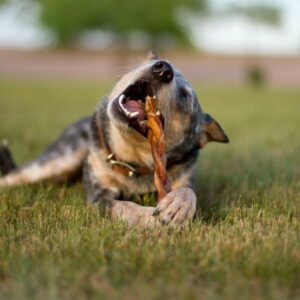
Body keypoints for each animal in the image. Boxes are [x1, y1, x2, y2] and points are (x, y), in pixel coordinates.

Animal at [0, 51, 229, 226]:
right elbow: (122, 205)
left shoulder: (183, 178)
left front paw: (178, 205)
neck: (134, 161)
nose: (163, 69)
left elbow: (188, 192)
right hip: (56, 162)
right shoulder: (98, 195)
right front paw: (148, 217)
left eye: (185, 96)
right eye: (155, 60)